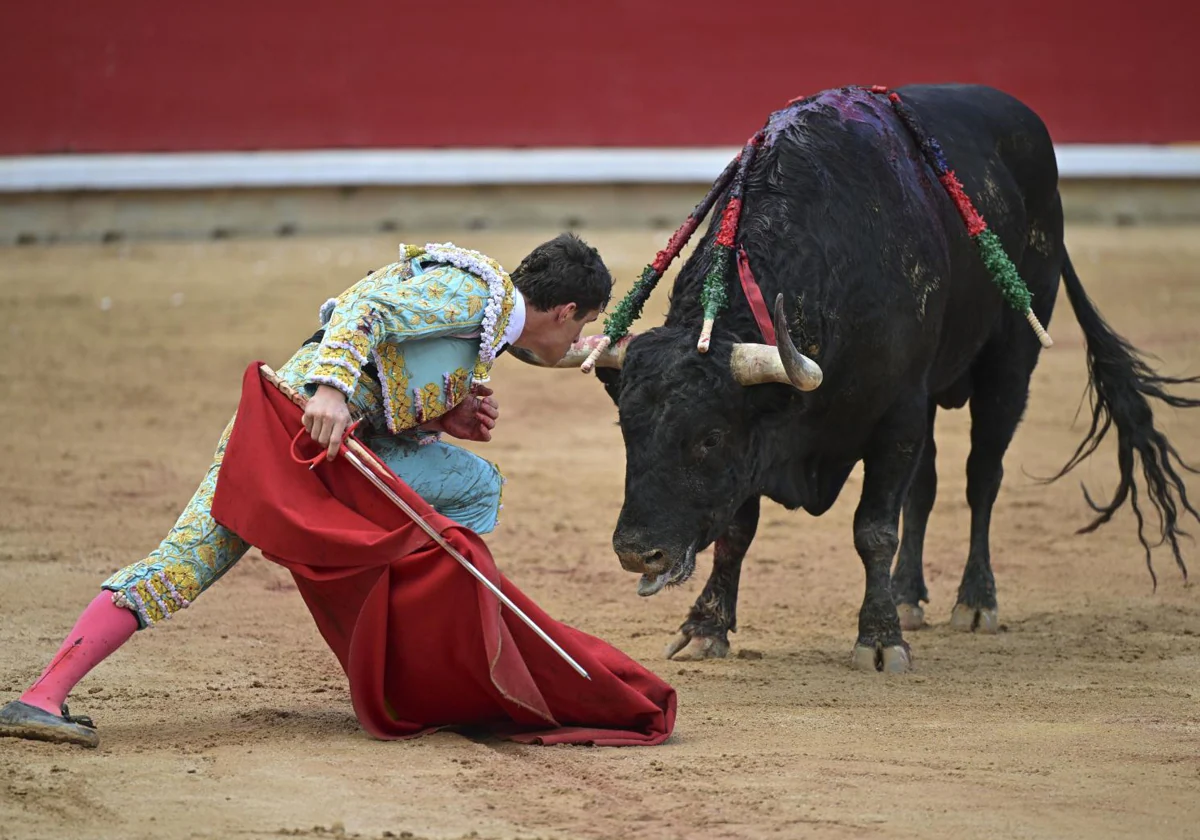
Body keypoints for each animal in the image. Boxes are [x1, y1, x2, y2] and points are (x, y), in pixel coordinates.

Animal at [511, 85, 1195, 672]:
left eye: (708, 438)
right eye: (627, 430)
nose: (636, 551)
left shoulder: (893, 414)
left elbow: (873, 529)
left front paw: (880, 640)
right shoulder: (780, 433)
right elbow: (737, 530)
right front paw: (705, 627)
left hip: (1012, 358)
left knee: (982, 475)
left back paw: (975, 602)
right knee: (929, 484)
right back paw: (910, 597)